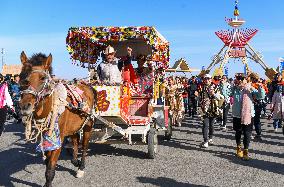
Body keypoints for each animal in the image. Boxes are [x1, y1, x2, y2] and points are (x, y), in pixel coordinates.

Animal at [18, 51, 95, 187]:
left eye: (42, 78)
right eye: (22, 76)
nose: (24, 106)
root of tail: (86, 86)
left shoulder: (57, 139)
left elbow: (50, 170)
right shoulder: (47, 138)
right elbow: (47, 161)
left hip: (88, 124)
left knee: (85, 145)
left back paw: (81, 167)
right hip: (74, 126)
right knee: (75, 140)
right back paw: (74, 160)